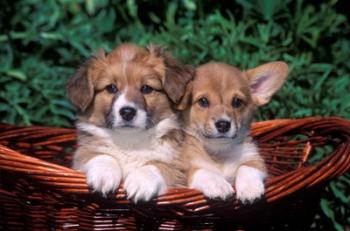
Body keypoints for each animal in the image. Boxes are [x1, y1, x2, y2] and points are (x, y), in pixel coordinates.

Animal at [66, 43, 194, 202]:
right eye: (111, 88)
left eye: (146, 88)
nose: (127, 112)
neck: (129, 140)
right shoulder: (82, 153)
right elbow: (101, 155)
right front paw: (104, 175)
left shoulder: (177, 166)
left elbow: (155, 165)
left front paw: (141, 182)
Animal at [179, 61, 288, 202]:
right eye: (203, 101)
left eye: (237, 102)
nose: (223, 124)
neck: (220, 153)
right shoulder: (186, 169)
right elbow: (204, 171)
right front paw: (218, 185)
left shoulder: (256, 160)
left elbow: (246, 167)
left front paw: (250, 188)